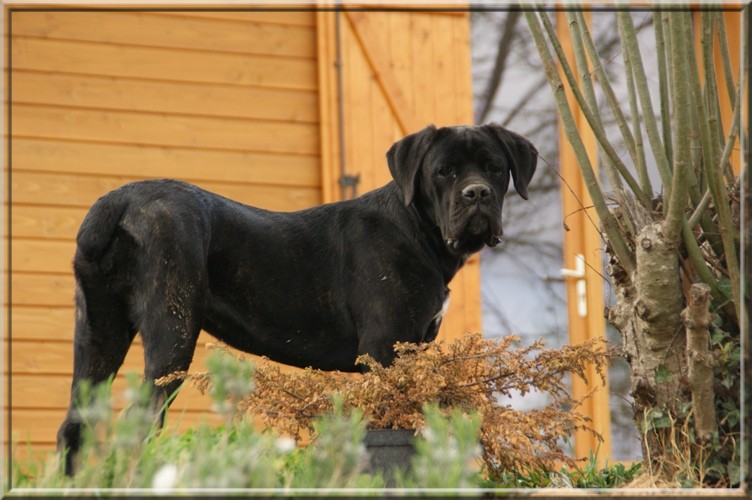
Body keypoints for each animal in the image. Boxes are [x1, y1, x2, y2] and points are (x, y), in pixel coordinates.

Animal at [55, 124, 536, 472]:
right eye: (444, 171)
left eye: (494, 167)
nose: (477, 193)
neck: (418, 229)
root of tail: (119, 202)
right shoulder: (384, 348)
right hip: (171, 330)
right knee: (140, 422)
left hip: (97, 335)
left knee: (74, 426)